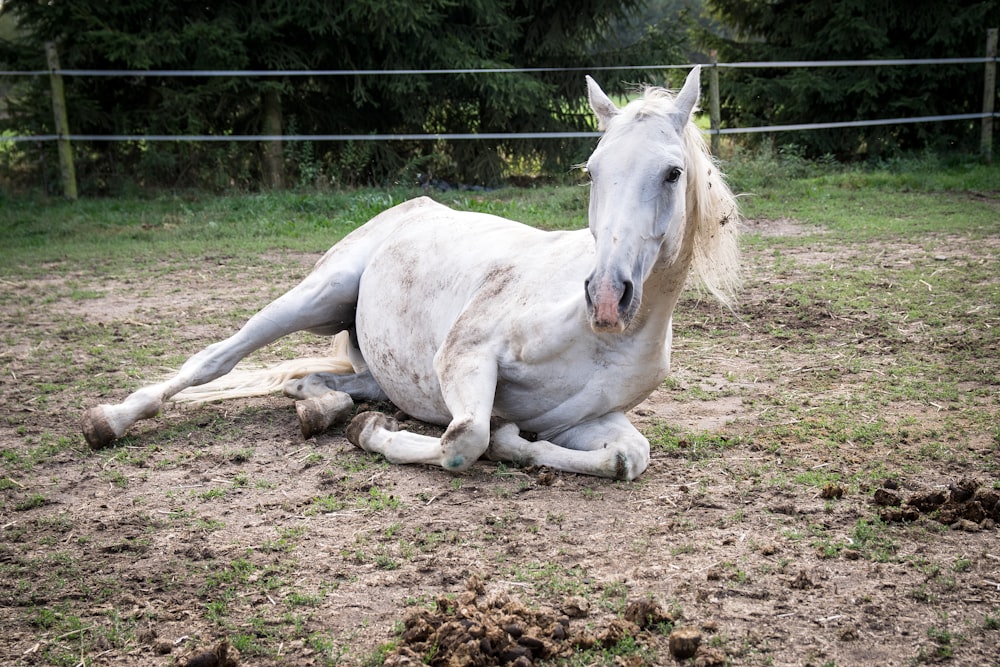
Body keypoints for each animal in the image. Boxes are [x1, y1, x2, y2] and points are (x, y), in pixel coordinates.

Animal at [82, 69, 740, 480]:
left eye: (673, 173)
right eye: (592, 170)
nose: (605, 298)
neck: (602, 340)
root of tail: (412, 206)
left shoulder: (587, 420)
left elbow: (629, 457)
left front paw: (515, 441)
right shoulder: (464, 355)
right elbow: (464, 441)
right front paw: (374, 436)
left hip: (373, 364)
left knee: (321, 383)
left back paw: (317, 408)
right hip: (314, 297)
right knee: (214, 359)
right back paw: (109, 421)